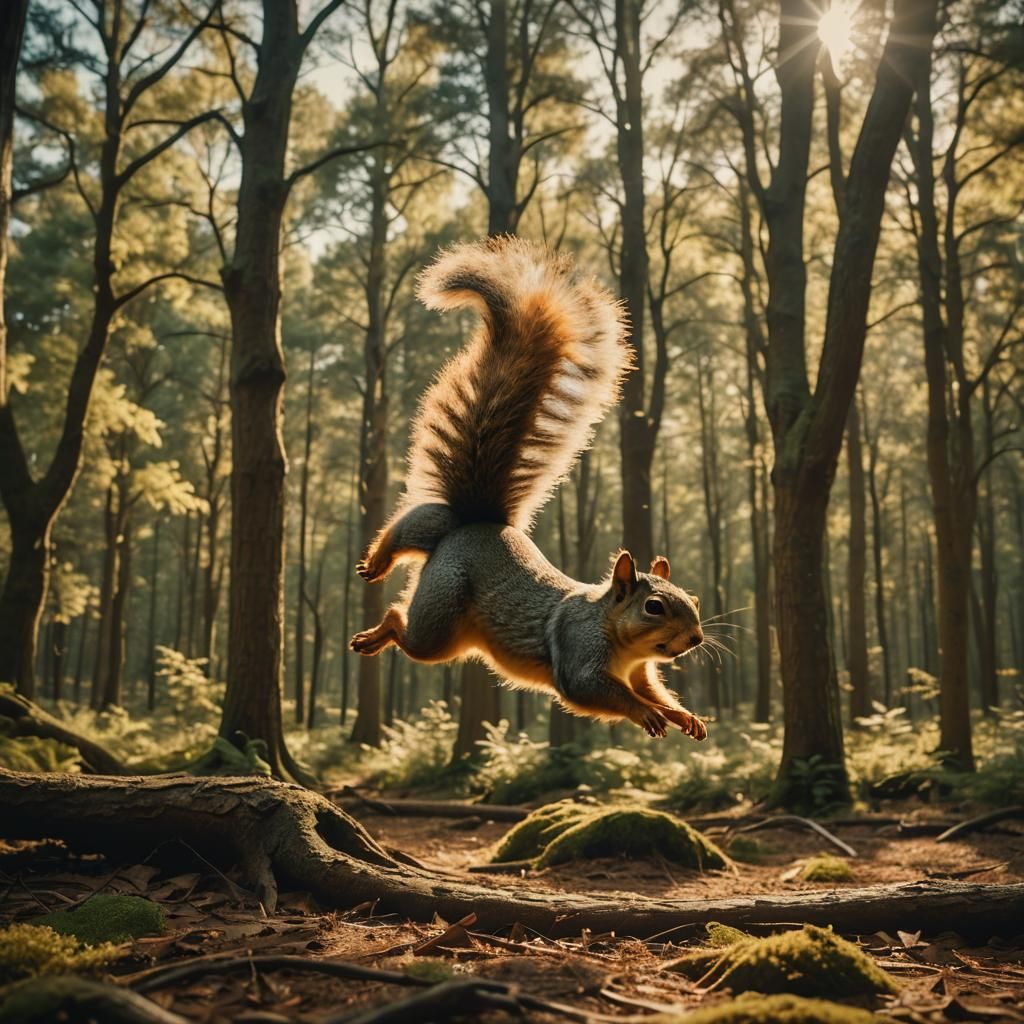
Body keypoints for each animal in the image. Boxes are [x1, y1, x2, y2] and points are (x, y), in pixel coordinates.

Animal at [350, 237, 707, 741]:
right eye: (654, 607)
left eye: (692, 599)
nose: (697, 637)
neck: (617, 636)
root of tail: (477, 524)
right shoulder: (579, 659)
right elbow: (603, 693)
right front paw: (646, 714)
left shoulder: (642, 672)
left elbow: (653, 691)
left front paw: (684, 716)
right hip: (438, 615)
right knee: (407, 590)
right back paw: (377, 603)